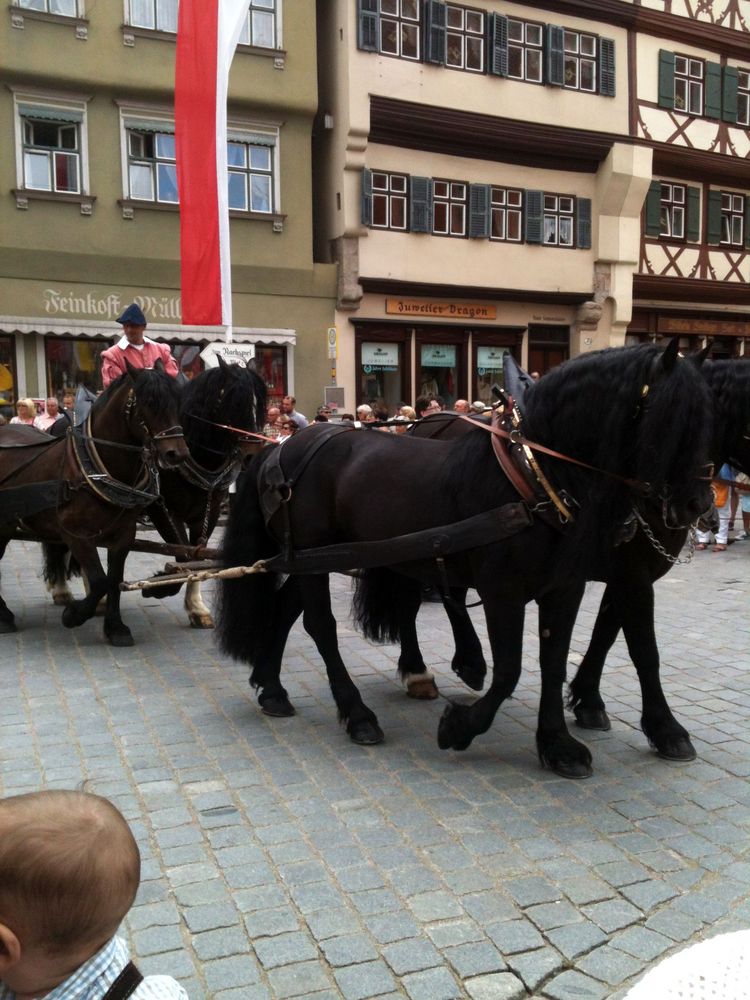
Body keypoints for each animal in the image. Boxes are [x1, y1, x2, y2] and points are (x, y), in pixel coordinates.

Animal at [0, 364, 188, 644]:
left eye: (178, 401)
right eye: (149, 402)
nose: (177, 454)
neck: (97, 466)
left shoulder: (123, 535)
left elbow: (114, 580)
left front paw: (115, 627)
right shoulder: (75, 534)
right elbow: (99, 581)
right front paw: (73, 615)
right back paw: (4, 616)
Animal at [217, 346, 716, 780]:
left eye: (706, 417)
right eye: (669, 417)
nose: (697, 503)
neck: (534, 476)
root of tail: (284, 446)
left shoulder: (565, 589)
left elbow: (554, 662)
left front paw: (556, 743)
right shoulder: (505, 592)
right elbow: (511, 671)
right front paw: (458, 727)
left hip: (318, 557)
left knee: (289, 608)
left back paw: (272, 688)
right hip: (317, 557)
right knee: (321, 626)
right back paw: (358, 714)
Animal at [568, 358, 750, 736]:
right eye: (675, 424)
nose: (699, 506)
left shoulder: (628, 576)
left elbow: (606, 633)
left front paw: (588, 699)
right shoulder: (632, 576)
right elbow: (644, 649)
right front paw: (666, 727)